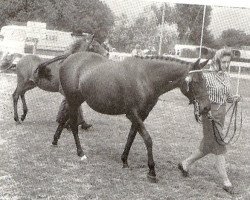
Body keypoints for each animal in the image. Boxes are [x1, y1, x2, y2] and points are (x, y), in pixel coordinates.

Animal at [35, 52, 211, 182]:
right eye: (196, 82)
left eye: (205, 81)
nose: (206, 107)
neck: (145, 78)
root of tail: (70, 57)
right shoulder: (132, 113)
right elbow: (148, 139)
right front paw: (151, 171)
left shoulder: (141, 115)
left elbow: (131, 136)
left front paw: (124, 161)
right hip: (73, 100)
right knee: (72, 124)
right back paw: (81, 153)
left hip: (77, 100)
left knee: (64, 118)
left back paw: (55, 141)